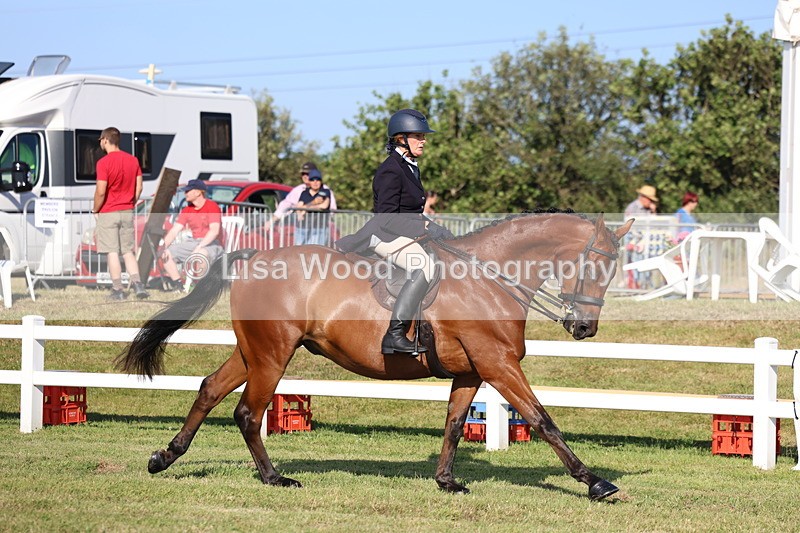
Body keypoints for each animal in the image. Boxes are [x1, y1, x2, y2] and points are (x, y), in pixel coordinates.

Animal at [119, 211, 634, 501]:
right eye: (595, 265)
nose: (585, 328)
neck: (489, 276)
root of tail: (251, 259)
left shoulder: (471, 371)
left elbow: (453, 424)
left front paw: (446, 481)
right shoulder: (498, 364)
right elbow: (544, 420)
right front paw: (595, 482)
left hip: (254, 353)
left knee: (209, 390)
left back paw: (165, 457)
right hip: (272, 355)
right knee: (247, 412)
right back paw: (274, 479)